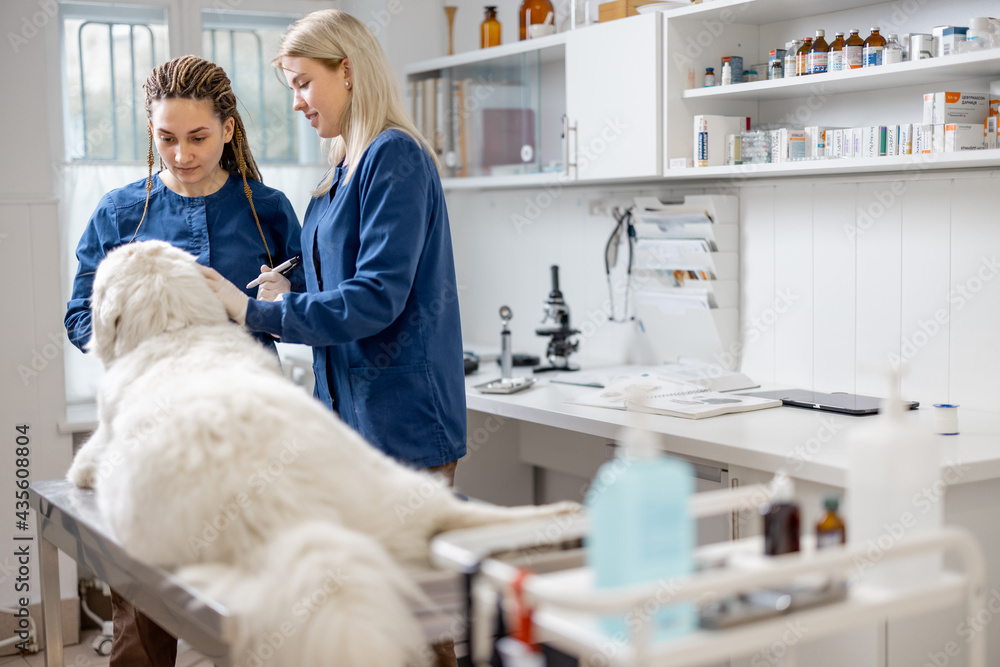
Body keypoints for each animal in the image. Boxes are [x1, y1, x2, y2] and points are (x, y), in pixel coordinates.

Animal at [66, 241, 576, 667]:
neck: (176, 328)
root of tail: (301, 515)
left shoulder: (100, 444)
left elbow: (84, 460)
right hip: (397, 484)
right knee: (450, 514)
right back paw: (557, 514)